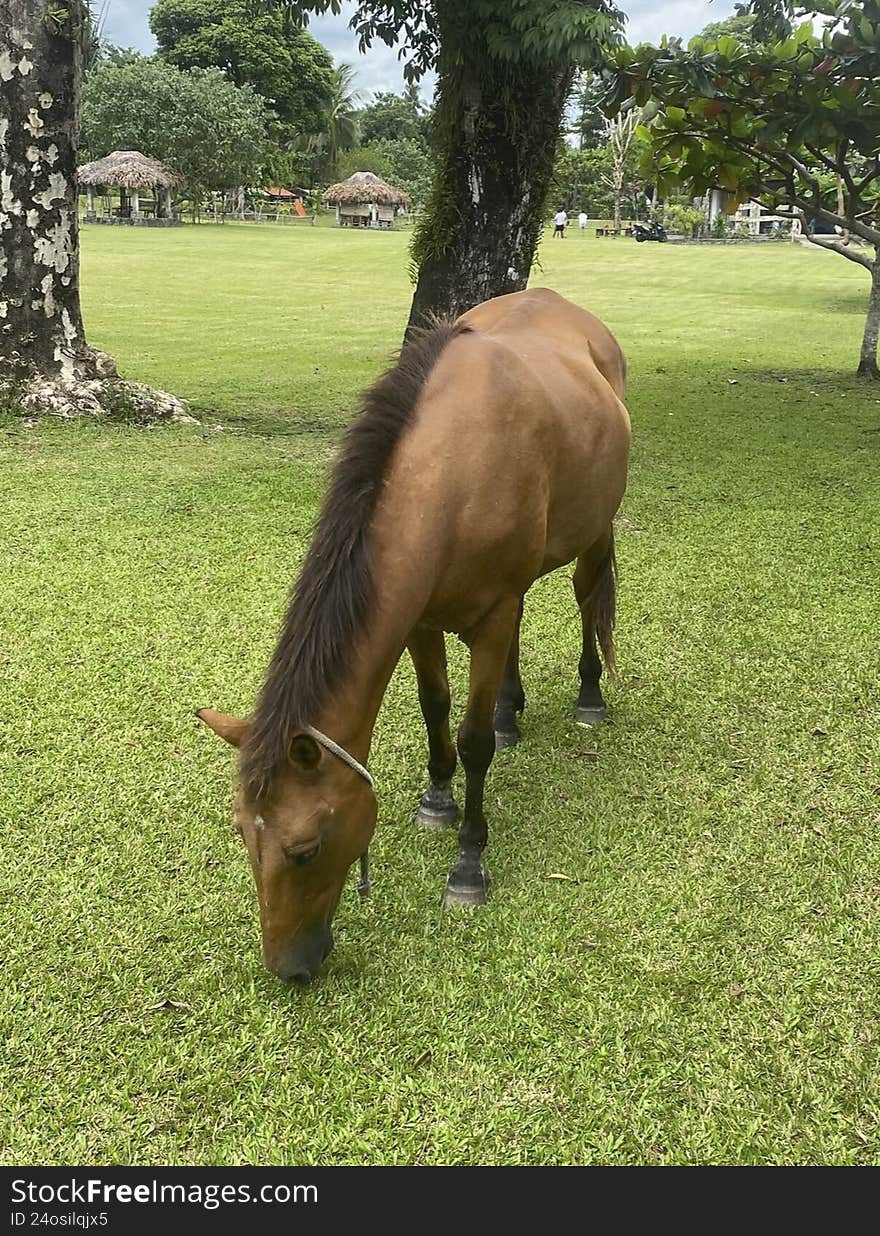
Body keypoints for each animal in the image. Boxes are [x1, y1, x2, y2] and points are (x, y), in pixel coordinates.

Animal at [198, 287, 631, 983]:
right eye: (242, 832)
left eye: (304, 848)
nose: (289, 970)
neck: (452, 473)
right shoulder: (420, 622)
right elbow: (436, 710)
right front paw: (437, 799)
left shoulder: (489, 616)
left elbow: (473, 741)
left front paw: (468, 862)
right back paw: (511, 710)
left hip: (595, 531)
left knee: (586, 595)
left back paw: (588, 696)